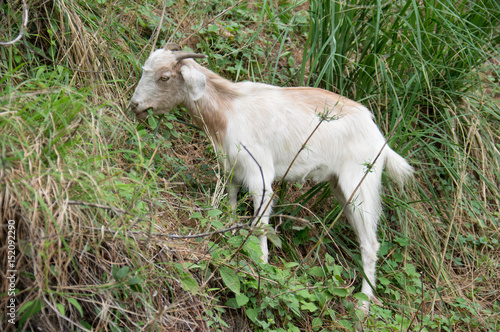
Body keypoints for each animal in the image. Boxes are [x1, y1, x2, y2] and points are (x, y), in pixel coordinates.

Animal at [130, 42, 414, 312]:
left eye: (164, 77)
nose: (135, 105)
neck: (229, 110)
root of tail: (379, 138)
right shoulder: (234, 169)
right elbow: (231, 204)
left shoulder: (260, 174)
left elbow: (260, 222)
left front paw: (261, 266)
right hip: (342, 188)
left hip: (361, 182)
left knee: (370, 243)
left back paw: (363, 305)